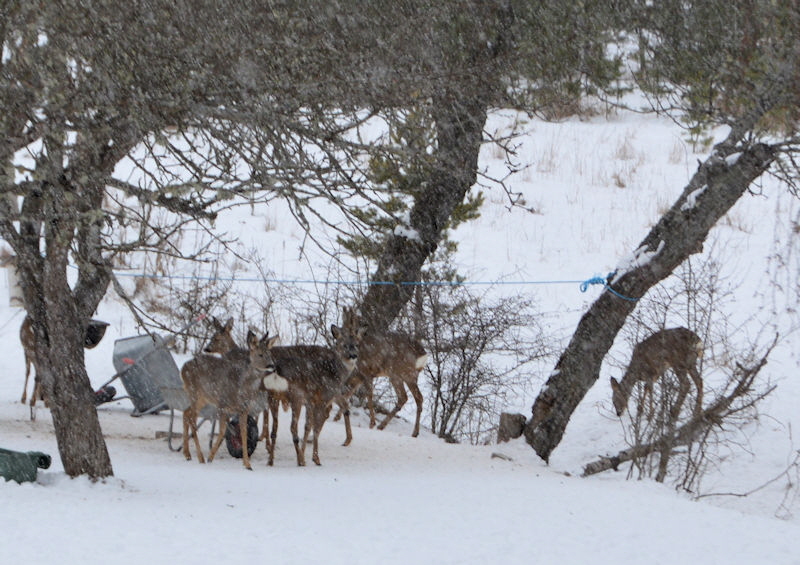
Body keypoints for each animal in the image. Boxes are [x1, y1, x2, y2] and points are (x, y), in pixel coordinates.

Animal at [180, 328, 278, 470]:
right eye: (260, 354)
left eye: (269, 353)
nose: (272, 366)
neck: (242, 386)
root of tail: (183, 368)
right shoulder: (222, 404)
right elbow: (221, 432)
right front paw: (210, 457)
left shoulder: (244, 409)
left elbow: (243, 432)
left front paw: (247, 464)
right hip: (194, 392)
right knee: (192, 419)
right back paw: (201, 458)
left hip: (201, 398)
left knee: (186, 413)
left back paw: (187, 454)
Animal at [260, 308, 366, 468]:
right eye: (343, 344)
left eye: (357, 344)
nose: (353, 355)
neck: (335, 370)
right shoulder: (323, 397)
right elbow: (315, 427)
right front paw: (315, 458)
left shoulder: (311, 400)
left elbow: (308, 426)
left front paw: (305, 452)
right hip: (295, 395)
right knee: (292, 426)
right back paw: (299, 460)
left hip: (274, 395)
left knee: (274, 427)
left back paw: (271, 459)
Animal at [340, 308, 432, 436]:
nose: (365, 324)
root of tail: (422, 353)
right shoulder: (358, 374)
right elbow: (348, 391)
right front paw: (336, 416)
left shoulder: (364, 370)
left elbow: (366, 394)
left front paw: (372, 423)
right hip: (409, 376)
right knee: (415, 398)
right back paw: (412, 432)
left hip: (398, 374)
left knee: (406, 397)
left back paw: (384, 426)